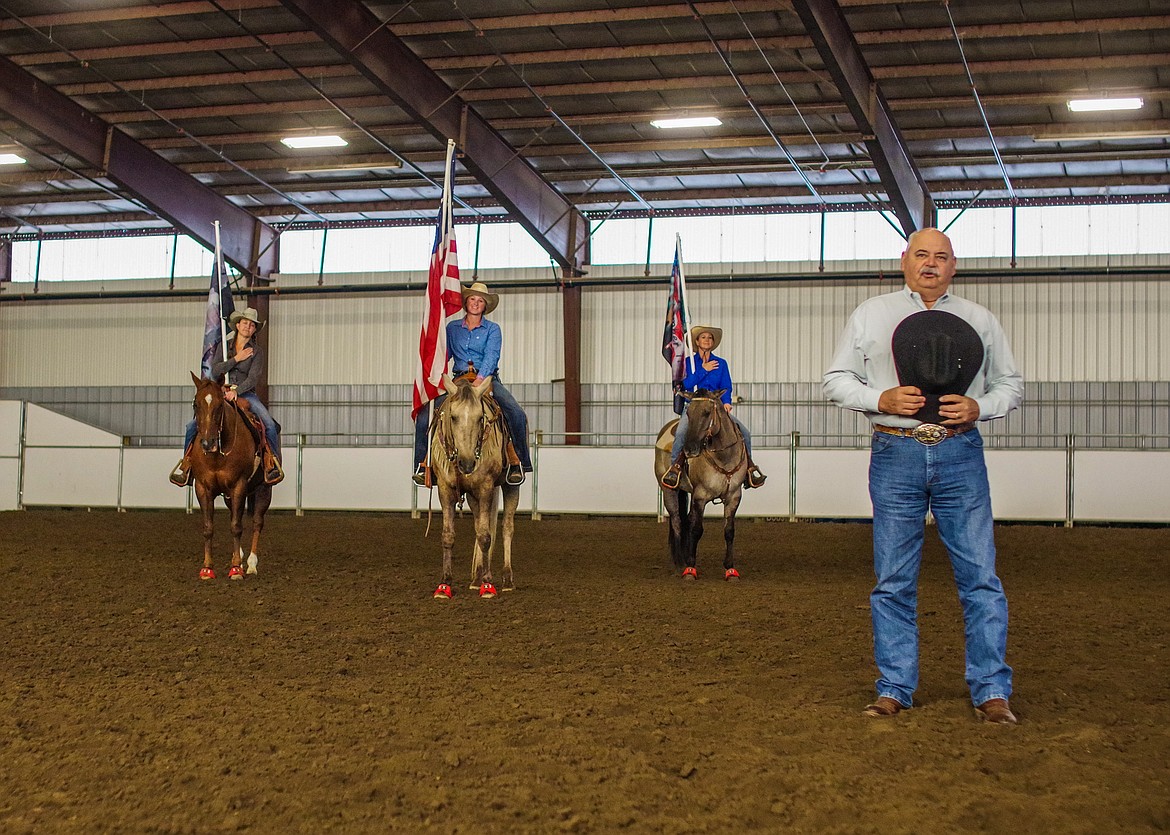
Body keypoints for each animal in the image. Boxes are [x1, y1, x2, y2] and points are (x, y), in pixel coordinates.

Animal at [184, 371, 271, 580]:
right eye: (195, 404)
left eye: (219, 405)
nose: (207, 443)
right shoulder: (202, 488)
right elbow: (208, 528)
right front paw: (207, 569)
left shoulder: (239, 485)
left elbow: (236, 526)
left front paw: (236, 569)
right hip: (229, 496)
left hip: (264, 489)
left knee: (257, 523)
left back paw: (251, 564)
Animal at [428, 374, 519, 594]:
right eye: (453, 417)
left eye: (480, 418)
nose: (467, 463)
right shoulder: (445, 489)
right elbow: (449, 536)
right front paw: (445, 583)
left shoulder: (485, 487)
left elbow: (486, 536)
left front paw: (487, 584)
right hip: (472, 496)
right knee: (479, 525)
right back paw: (476, 578)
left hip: (510, 486)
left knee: (507, 527)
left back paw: (506, 579)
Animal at [650, 388, 748, 580]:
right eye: (688, 413)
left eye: (707, 412)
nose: (690, 449)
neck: (724, 457)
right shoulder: (700, 496)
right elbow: (696, 529)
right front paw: (690, 569)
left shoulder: (734, 496)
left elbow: (729, 531)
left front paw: (730, 569)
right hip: (668, 490)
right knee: (677, 520)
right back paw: (680, 563)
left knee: (686, 520)